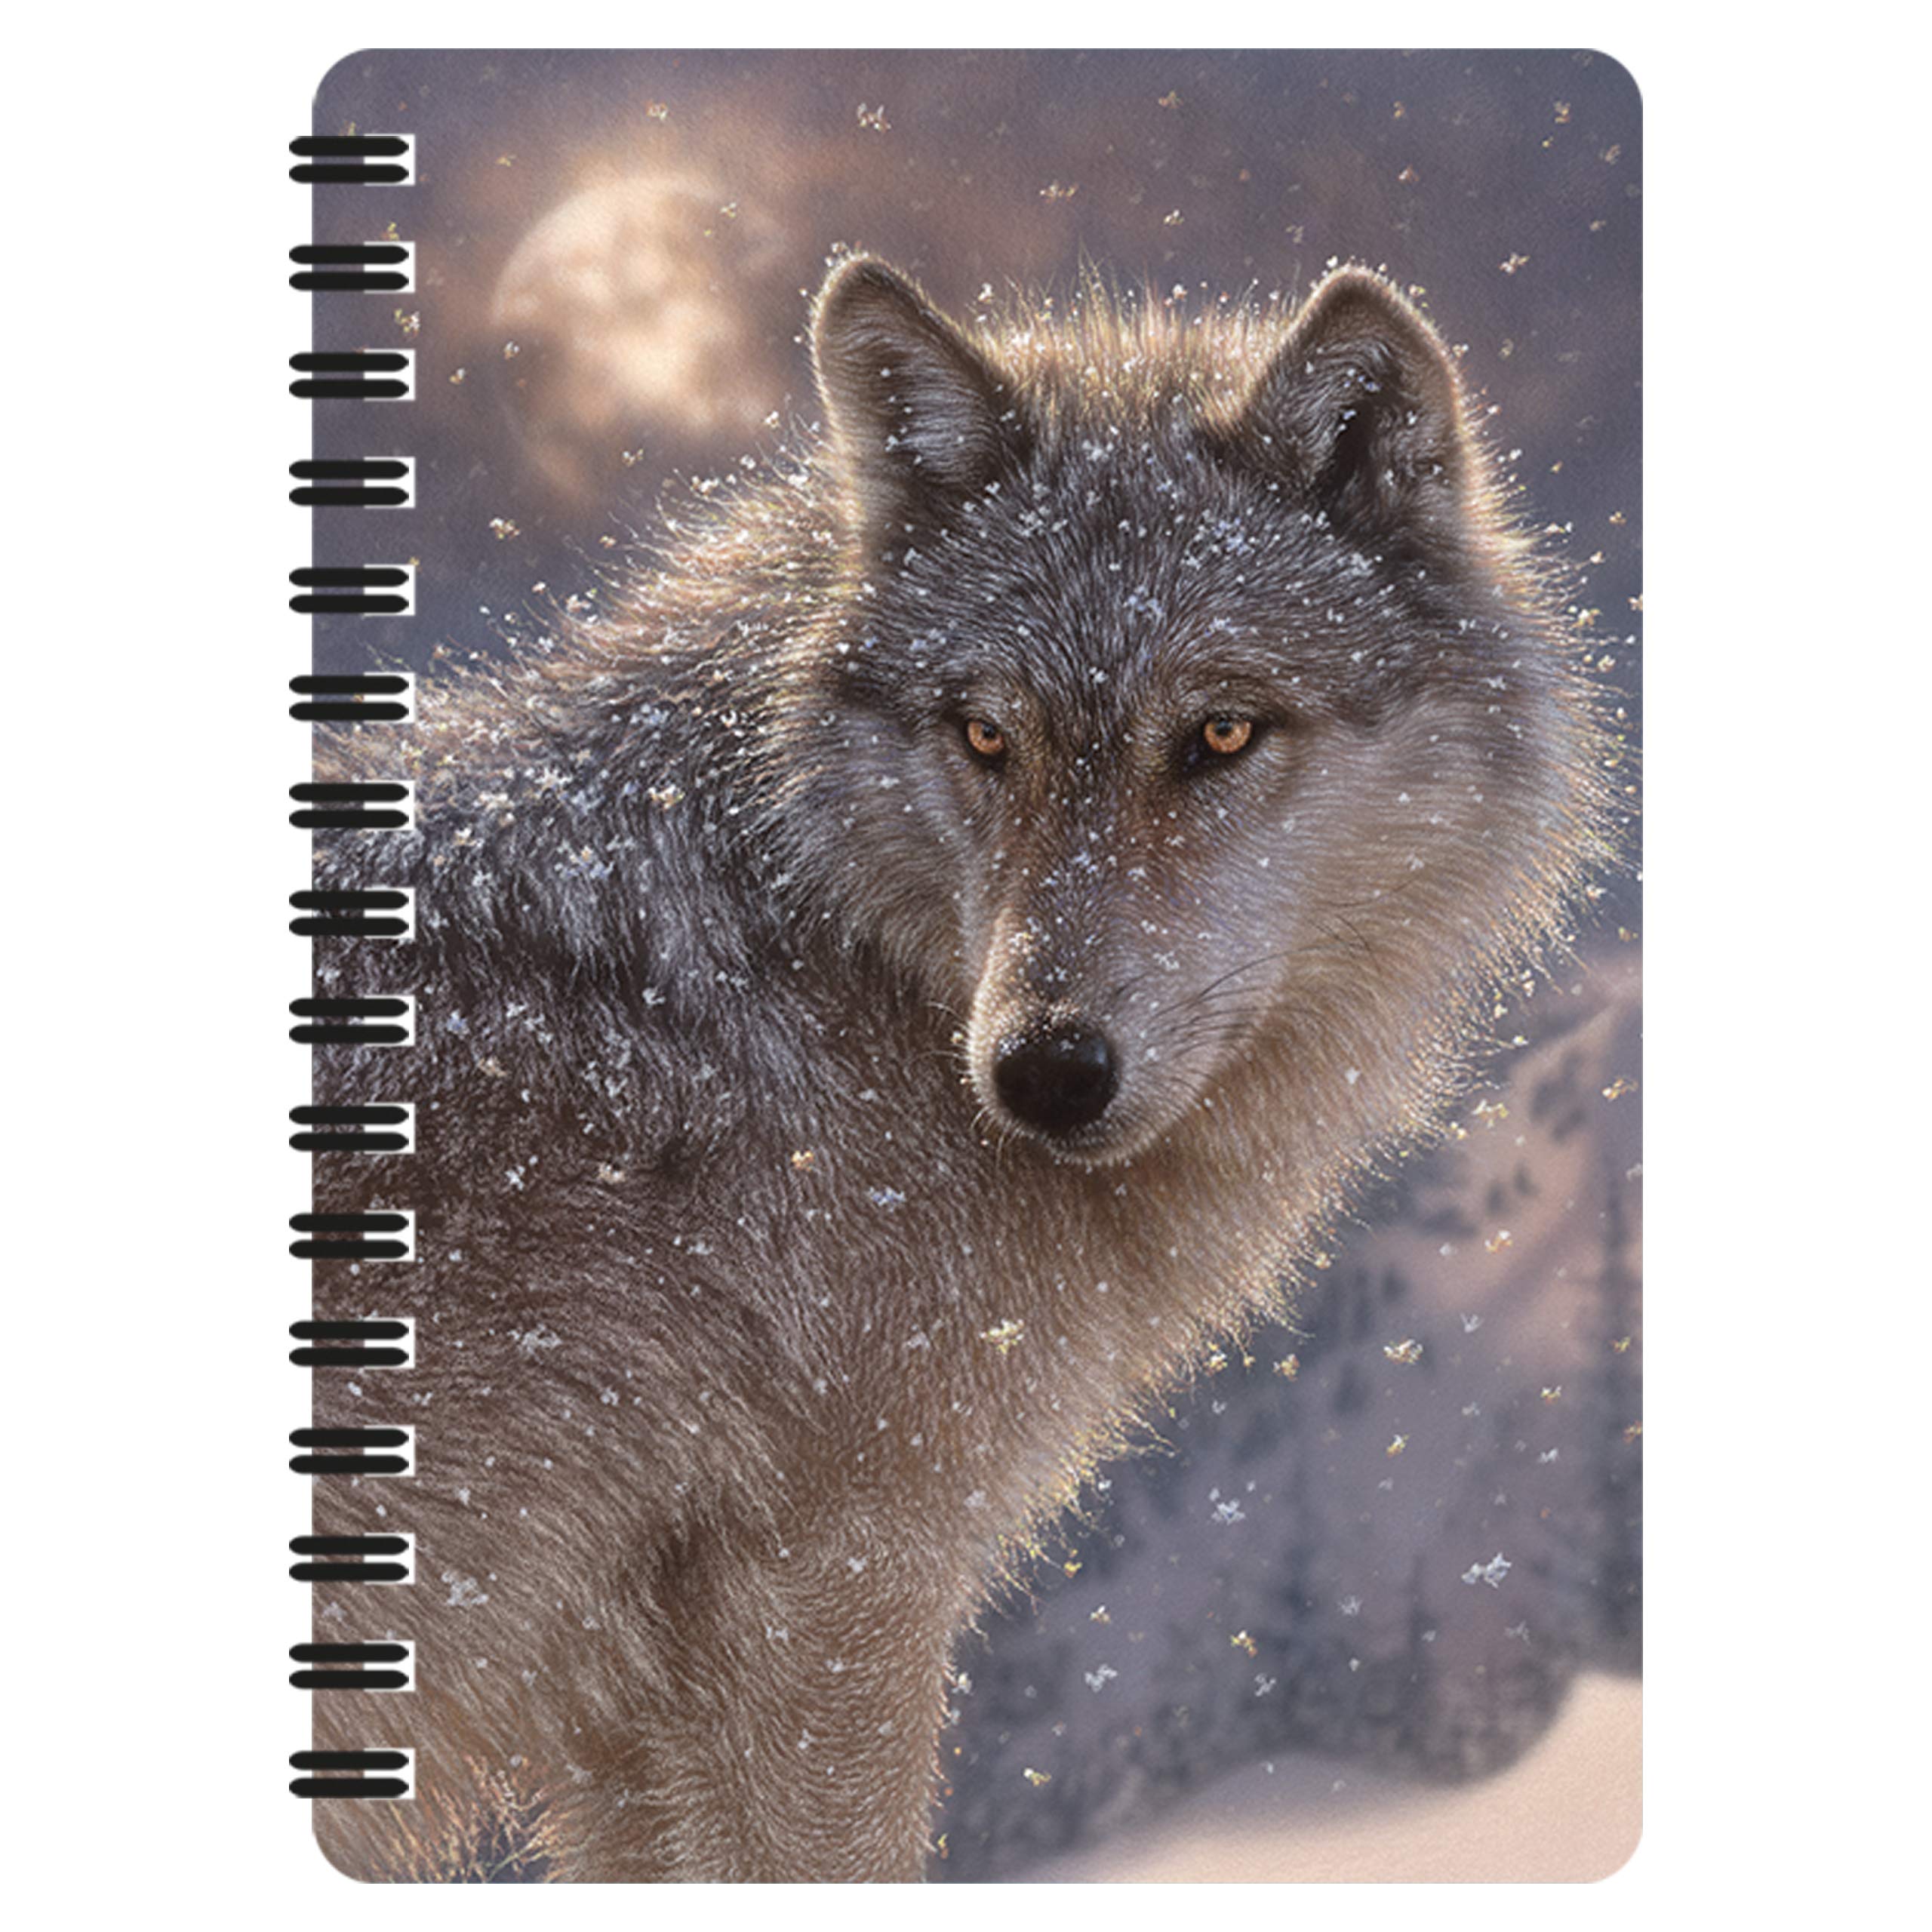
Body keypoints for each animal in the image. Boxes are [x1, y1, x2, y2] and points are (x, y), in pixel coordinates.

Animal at [306, 255, 1621, 1881]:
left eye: (1221, 730)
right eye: (988, 733)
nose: (1045, 1072)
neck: (832, 950)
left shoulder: (641, 1699)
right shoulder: (831, 1589)